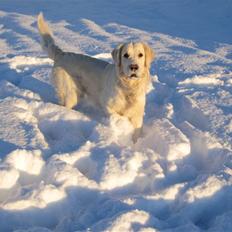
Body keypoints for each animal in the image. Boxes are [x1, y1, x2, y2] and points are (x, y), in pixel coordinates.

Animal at [37, 14, 154, 142]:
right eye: (125, 55)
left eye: (140, 55)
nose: (134, 67)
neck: (128, 86)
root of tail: (61, 54)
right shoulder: (109, 107)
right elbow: (117, 117)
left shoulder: (137, 115)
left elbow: (136, 132)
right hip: (70, 94)